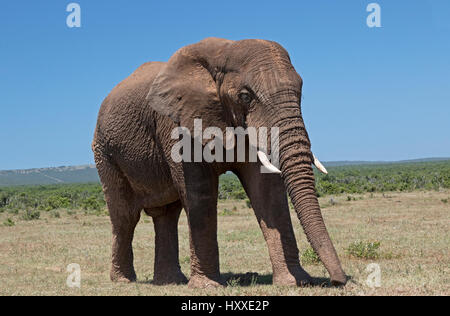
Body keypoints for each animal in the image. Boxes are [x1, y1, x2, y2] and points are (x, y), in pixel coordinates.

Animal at [93, 37, 348, 288]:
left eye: (300, 92)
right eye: (245, 96)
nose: (338, 280)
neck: (224, 51)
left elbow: (266, 190)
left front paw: (295, 282)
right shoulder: (179, 123)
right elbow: (199, 192)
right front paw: (208, 286)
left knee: (166, 214)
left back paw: (170, 281)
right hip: (105, 152)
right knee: (125, 216)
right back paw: (123, 280)